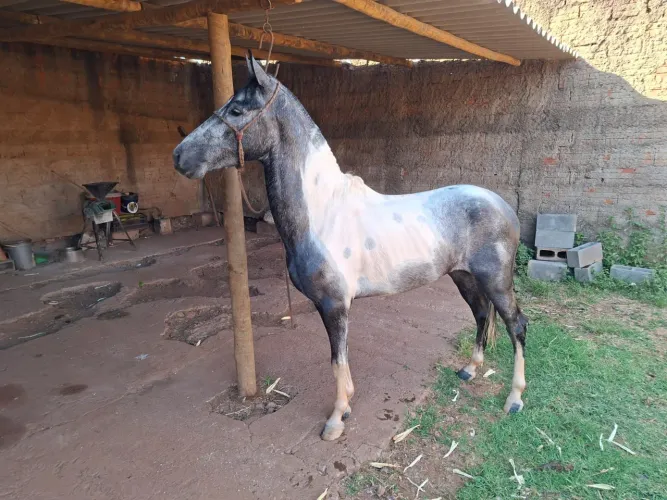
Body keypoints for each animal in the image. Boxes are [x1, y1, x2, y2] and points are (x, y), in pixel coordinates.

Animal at [173, 54, 528, 441]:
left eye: (237, 109)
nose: (179, 156)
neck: (322, 211)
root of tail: (503, 205)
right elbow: (339, 358)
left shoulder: (335, 304)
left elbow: (336, 359)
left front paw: (336, 419)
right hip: (463, 276)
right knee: (480, 314)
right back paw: (470, 370)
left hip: (497, 282)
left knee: (516, 326)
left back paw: (514, 399)